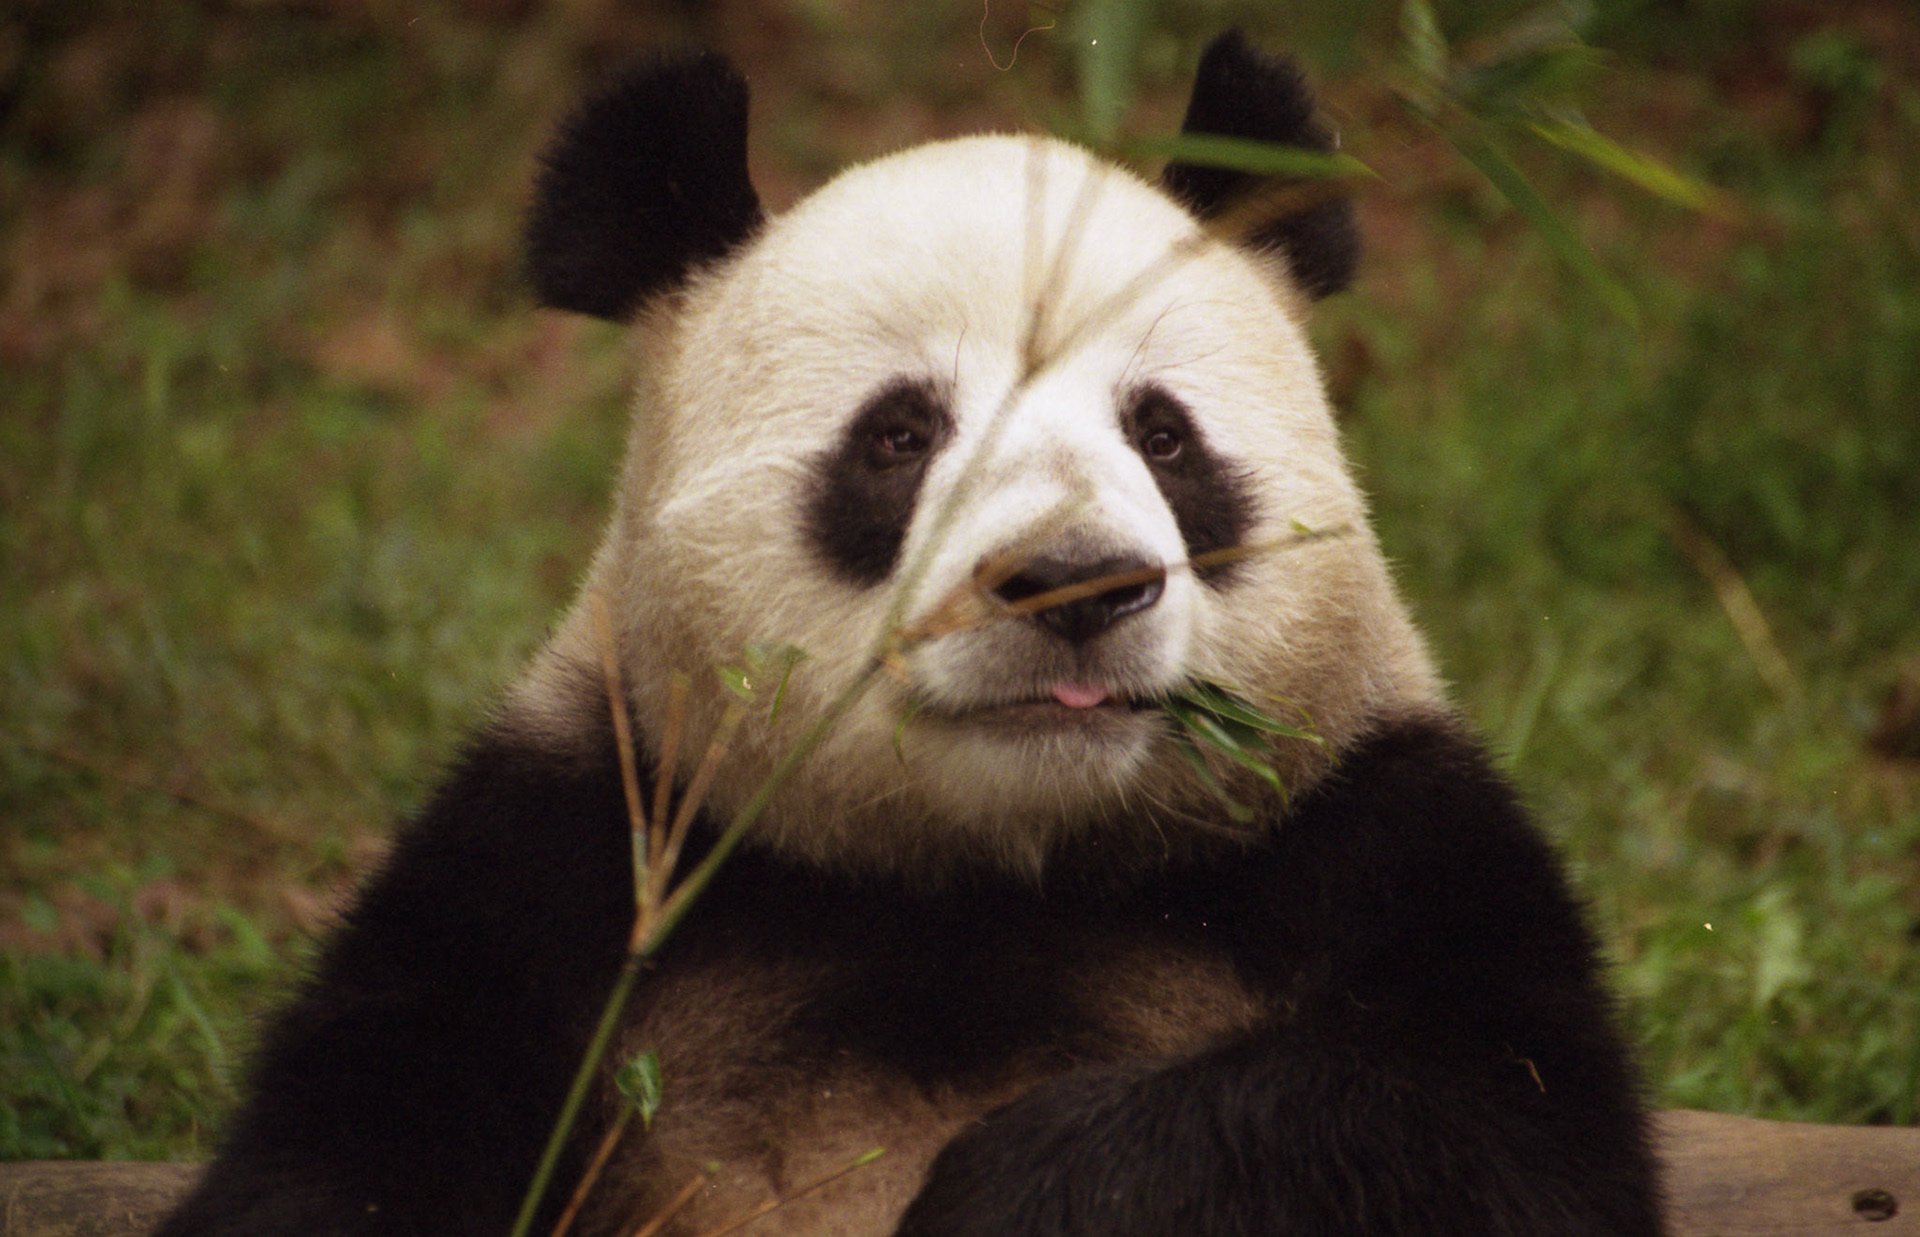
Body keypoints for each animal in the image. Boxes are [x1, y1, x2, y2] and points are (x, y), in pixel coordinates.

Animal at [156, 31, 1665, 1237]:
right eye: (899, 435)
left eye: (1163, 434)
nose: (1074, 584)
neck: (987, 875)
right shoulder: (566, 859)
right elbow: (343, 1144)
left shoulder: (1372, 832)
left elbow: (1480, 1121)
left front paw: (1014, 1189)